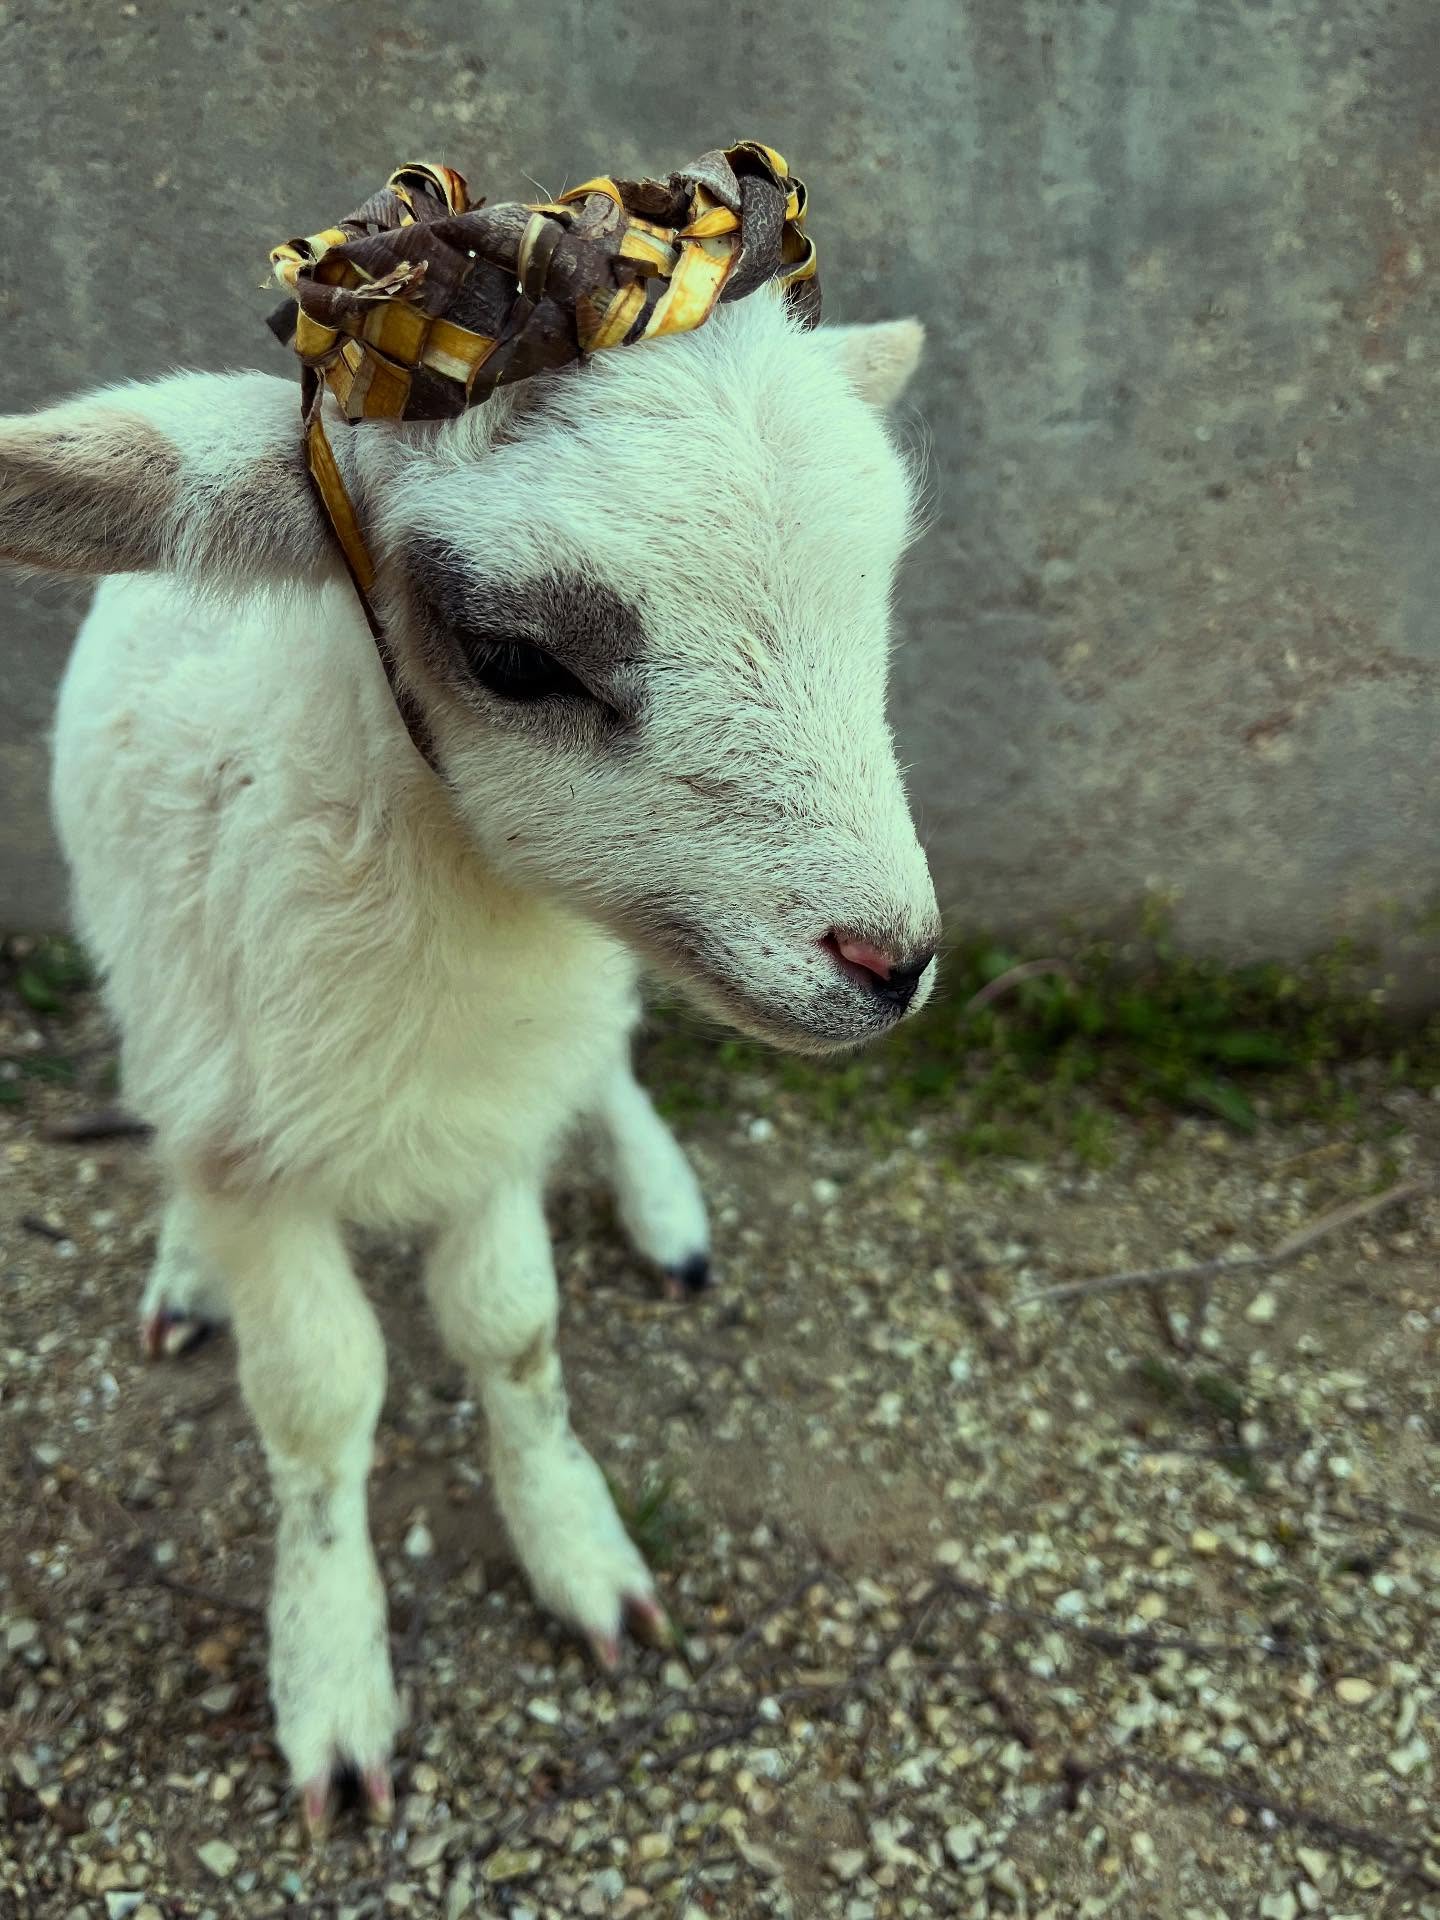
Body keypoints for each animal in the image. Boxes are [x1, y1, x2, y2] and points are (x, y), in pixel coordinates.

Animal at [0, 284, 941, 1831]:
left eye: (874, 595)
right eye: (514, 658)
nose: (895, 960)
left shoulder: (494, 1113)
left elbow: (514, 1333)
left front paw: (580, 1552)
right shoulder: (254, 1147)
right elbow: (320, 1404)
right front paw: (332, 1676)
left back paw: (663, 1206)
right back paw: (186, 1268)